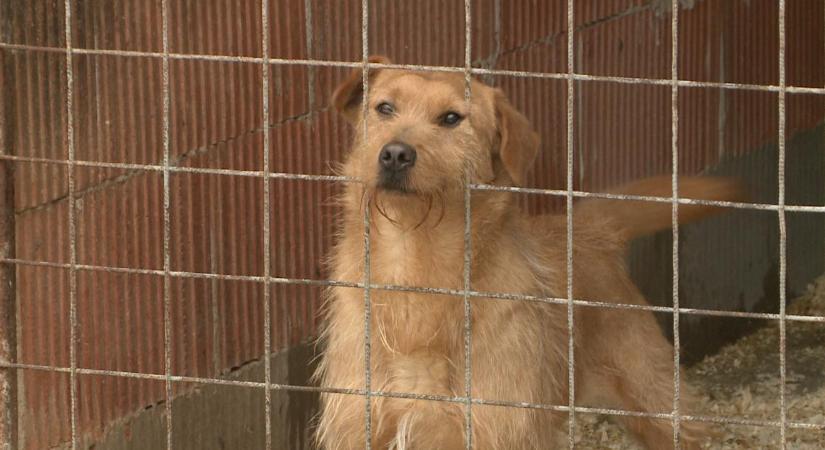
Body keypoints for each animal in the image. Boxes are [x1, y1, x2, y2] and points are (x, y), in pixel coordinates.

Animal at [314, 56, 740, 450]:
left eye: (451, 118)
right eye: (384, 108)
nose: (396, 154)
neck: (415, 265)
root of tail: (586, 230)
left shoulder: (499, 427)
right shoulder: (360, 424)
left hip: (654, 396)